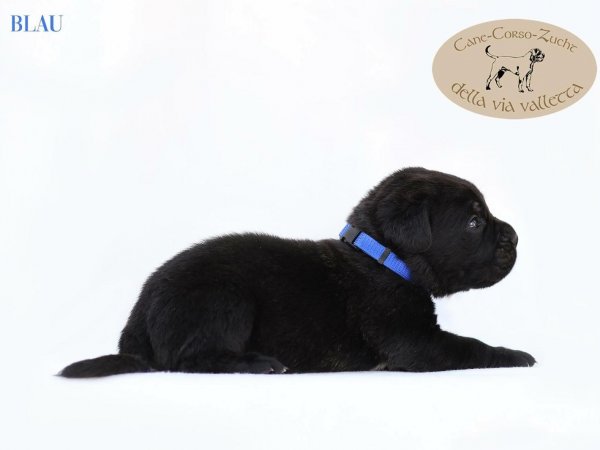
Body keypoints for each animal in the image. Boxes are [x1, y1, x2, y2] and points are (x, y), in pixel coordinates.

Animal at [60, 168, 535, 377]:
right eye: (474, 222)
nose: (517, 237)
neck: (383, 257)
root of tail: (137, 318)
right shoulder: (412, 340)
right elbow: (470, 346)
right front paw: (516, 355)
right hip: (224, 299)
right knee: (187, 361)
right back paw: (258, 364)